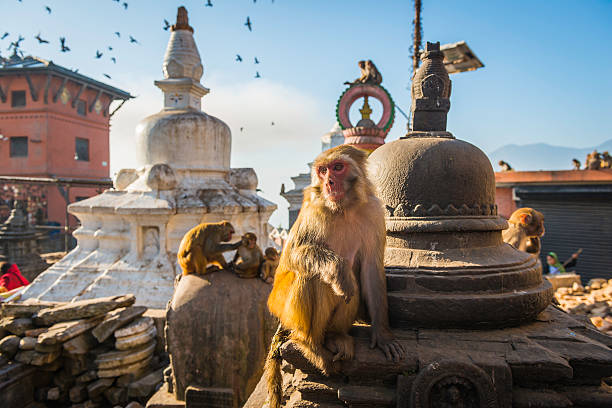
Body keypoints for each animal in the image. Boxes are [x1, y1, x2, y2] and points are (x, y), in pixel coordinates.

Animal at [266, 145, 404, 408]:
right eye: (322, 170)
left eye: (338, 167)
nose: (329, 182)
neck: (344, 208)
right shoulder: (312, 208)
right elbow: (294, 254)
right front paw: (337, 269)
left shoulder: (374, 212)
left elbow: (371, 270)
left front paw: (382, 334)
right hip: (283, 308)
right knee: (314, 277)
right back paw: (310, 344)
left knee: (353, 287)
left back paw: (335, 337)